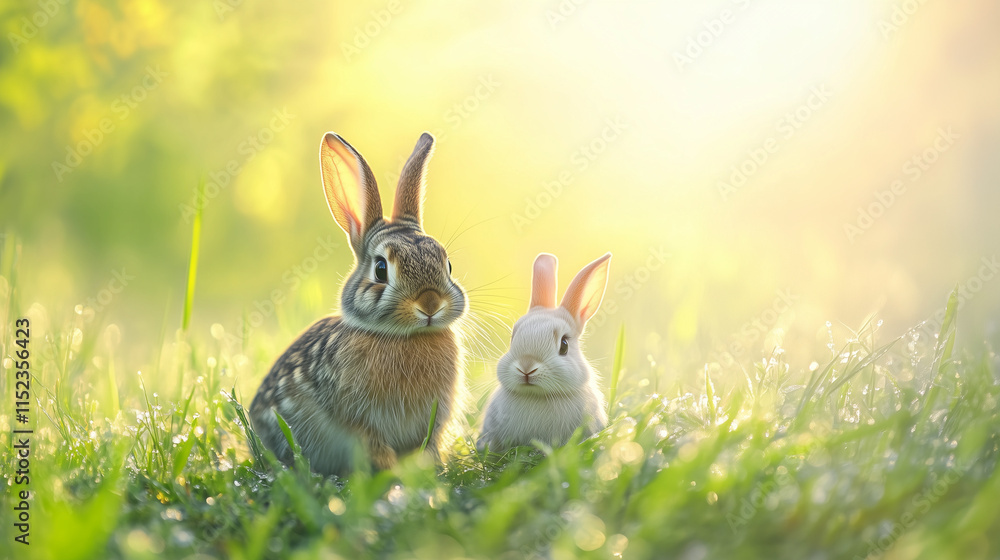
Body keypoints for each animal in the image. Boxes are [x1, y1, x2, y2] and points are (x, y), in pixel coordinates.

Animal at [249, 131, 467, 476]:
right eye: (380, 269)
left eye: (447, 265)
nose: (431, 304)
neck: (405, 337)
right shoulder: (358, 420)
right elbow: (374, 444)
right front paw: (391, 473)